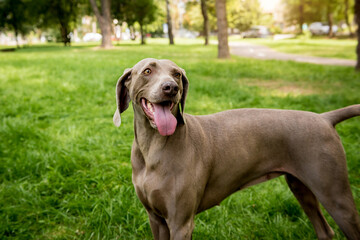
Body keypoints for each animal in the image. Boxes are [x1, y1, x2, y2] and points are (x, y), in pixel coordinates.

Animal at [113, 58, 360, 240]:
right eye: (147, 71)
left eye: (176, 74)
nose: (171, 88)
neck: (152, 148)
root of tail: (324, 118)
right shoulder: (156, 219)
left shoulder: (180, 223)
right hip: (301, 187)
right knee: (325, 230)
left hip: (334, 193)